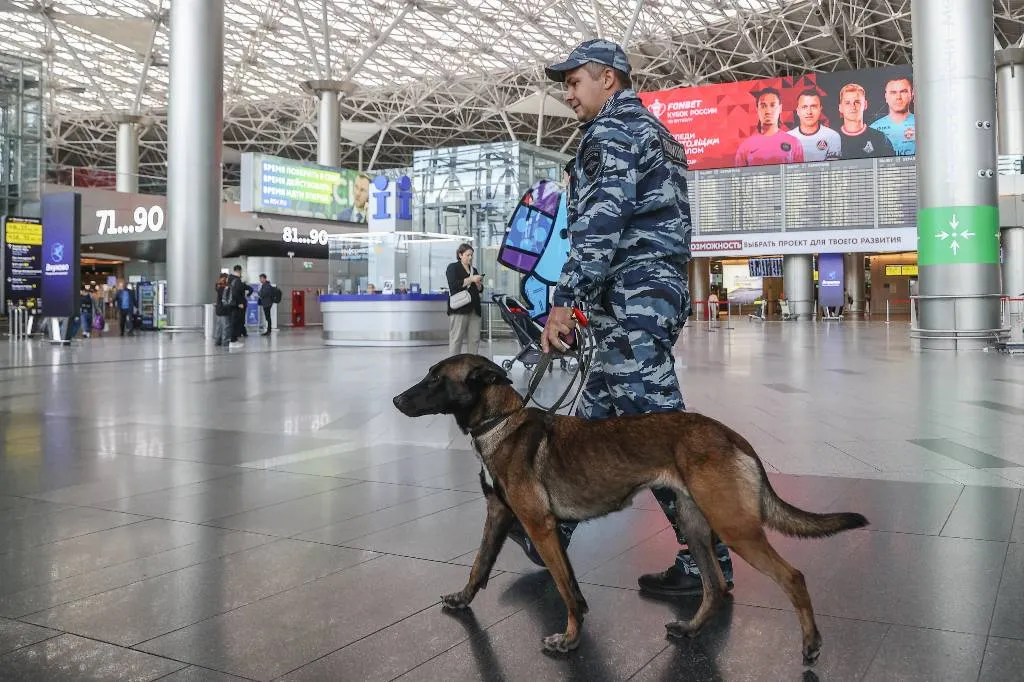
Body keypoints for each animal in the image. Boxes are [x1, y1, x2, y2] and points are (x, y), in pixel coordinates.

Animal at [395, 352, 868, 659]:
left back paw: (810, 644)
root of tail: (731, 435)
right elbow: (480, 566)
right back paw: (691, 628)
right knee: (715, 587)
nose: (397, 400)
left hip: (735, 528)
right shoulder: (499, 516)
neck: (500, 423)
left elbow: (565, 590)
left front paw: (569, 640)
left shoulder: (540, 526)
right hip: (695, 525)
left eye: (436, 379)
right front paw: (462, 598)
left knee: (792, 577)